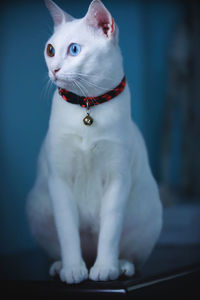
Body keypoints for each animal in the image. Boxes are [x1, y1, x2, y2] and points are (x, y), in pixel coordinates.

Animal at [26, 0, 162, 284]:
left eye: (74, 49)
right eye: (50, 49)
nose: (54, 70)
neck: (87, 106)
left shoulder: (118, 179)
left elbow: (110, 232)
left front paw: (105, 268)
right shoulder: (59, 180)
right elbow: (67, 232)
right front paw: (73, 270)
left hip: (147, 212)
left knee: (129, 253)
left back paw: (120, 266)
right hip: (38, 207)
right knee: (61, 246)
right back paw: (61, 266)